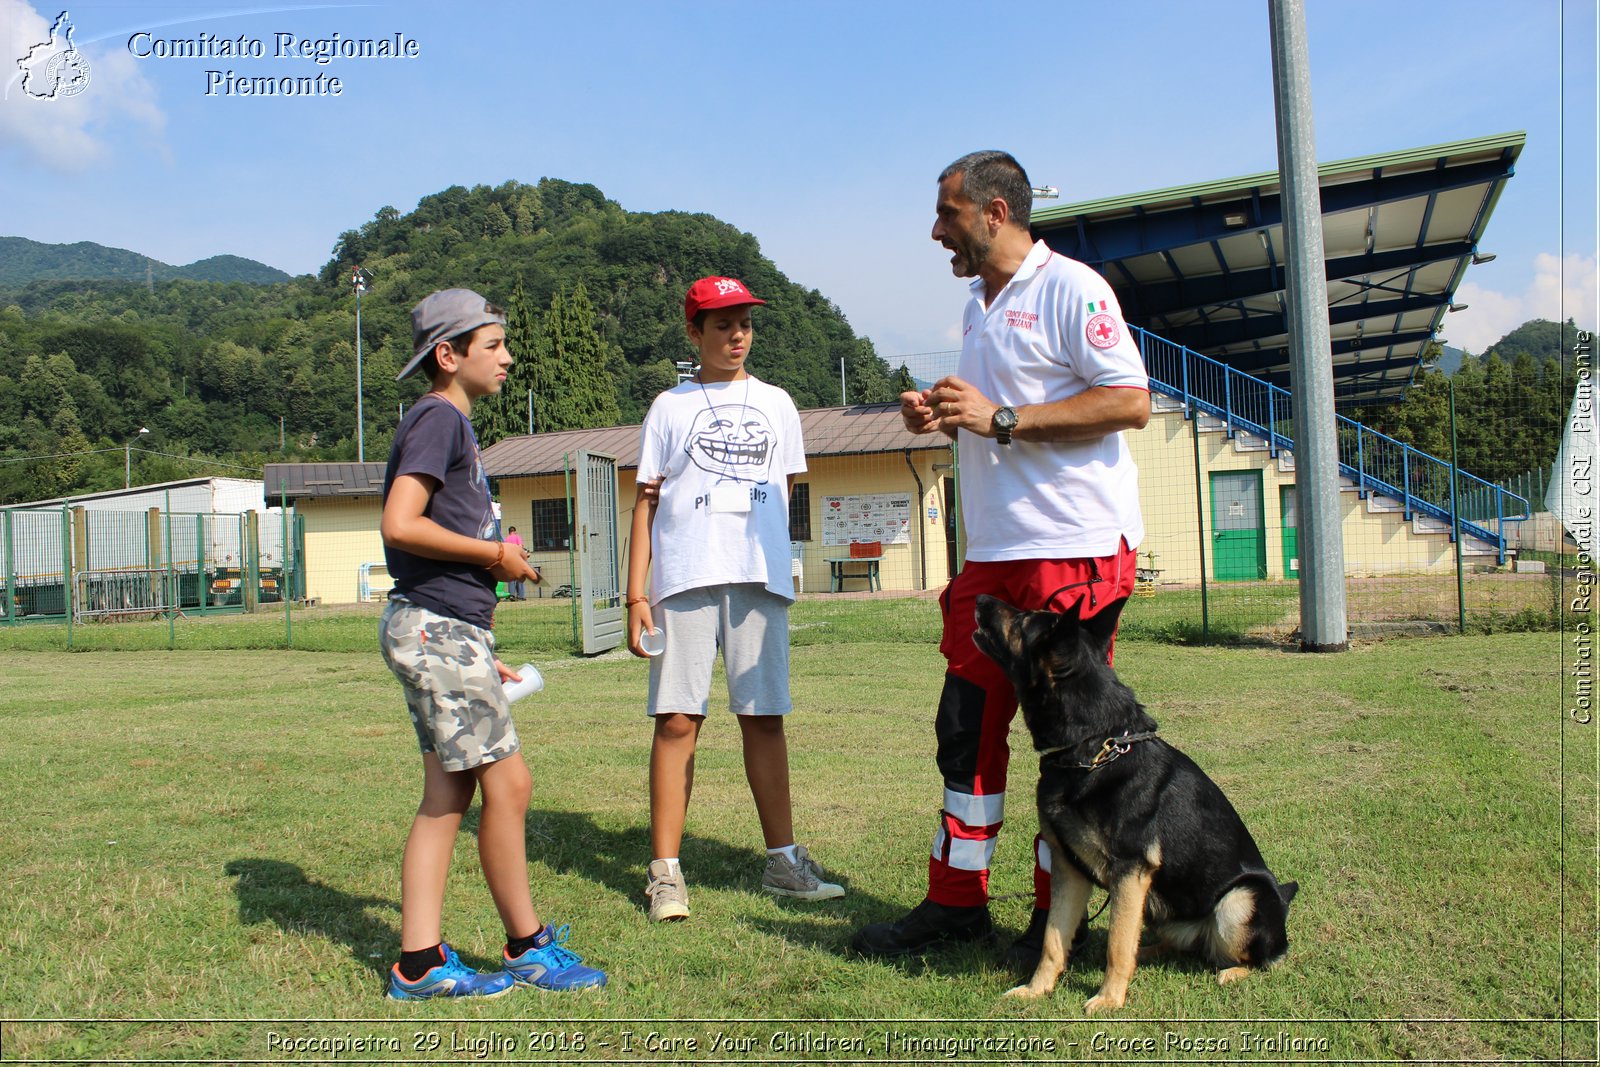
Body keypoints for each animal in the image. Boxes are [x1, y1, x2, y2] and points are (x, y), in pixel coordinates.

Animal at [966, 598, 1292, 1017]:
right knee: (1189, 946)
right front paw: (1037, 990)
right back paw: (1150, 952)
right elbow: (1053, 941)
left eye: (1024, 619)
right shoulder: (1070, 869)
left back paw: (1231, 972)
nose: (980, 599)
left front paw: (1109, 999)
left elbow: (1117, 946)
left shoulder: (1130, 871)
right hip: (1160, 910)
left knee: (1251, 958)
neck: (1094, 751)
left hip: (1239, 899)